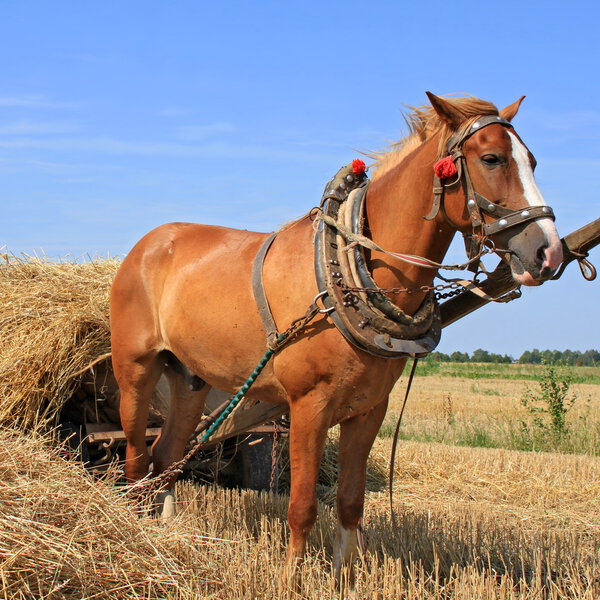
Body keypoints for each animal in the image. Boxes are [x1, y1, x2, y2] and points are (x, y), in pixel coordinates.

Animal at [111, 94, 564, 580]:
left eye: (532, 161)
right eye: (492, 158)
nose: (549, 252)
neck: (351, 276)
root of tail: (147, 245)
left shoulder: (368, 409)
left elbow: (349, 502)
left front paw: (345, 573)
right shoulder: (308, 406)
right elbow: (302, 506)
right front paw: (290, 578)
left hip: (190, 378)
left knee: (166, 454)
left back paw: (166, 530)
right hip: (135, 370)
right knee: (136, 457)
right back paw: (135, 534)